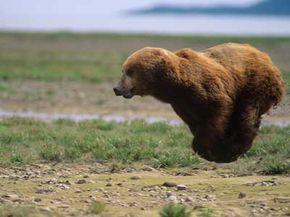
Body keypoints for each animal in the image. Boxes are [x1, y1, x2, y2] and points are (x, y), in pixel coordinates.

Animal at [113, 43, 286, 163]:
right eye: (123, 69)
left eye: (131, 71)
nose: (117, 88)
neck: (176, 85)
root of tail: (267, 58)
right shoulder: (182, 104)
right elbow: (195, 122)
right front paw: (216, 149)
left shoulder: (207, 90)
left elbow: (216, 116)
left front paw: (213, 151)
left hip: (254, 84)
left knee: (246, 114)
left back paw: (237, 148)